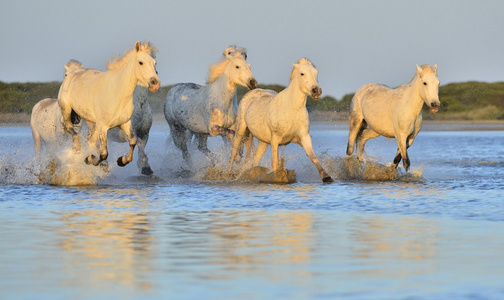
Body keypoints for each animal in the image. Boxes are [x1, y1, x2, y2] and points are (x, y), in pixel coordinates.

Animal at [59, 41, 161, 169]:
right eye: (140, 62)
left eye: (154, 62)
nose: (155, 83)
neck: (117, 94)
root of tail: (71, 72)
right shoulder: (103, 128)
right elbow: (103, 154)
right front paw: (90, 159)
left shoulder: (125, 123)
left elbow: (133, 142)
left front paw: (121, 160)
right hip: (67, 110)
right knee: (71, 129)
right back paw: (78, 148)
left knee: (90, 141)